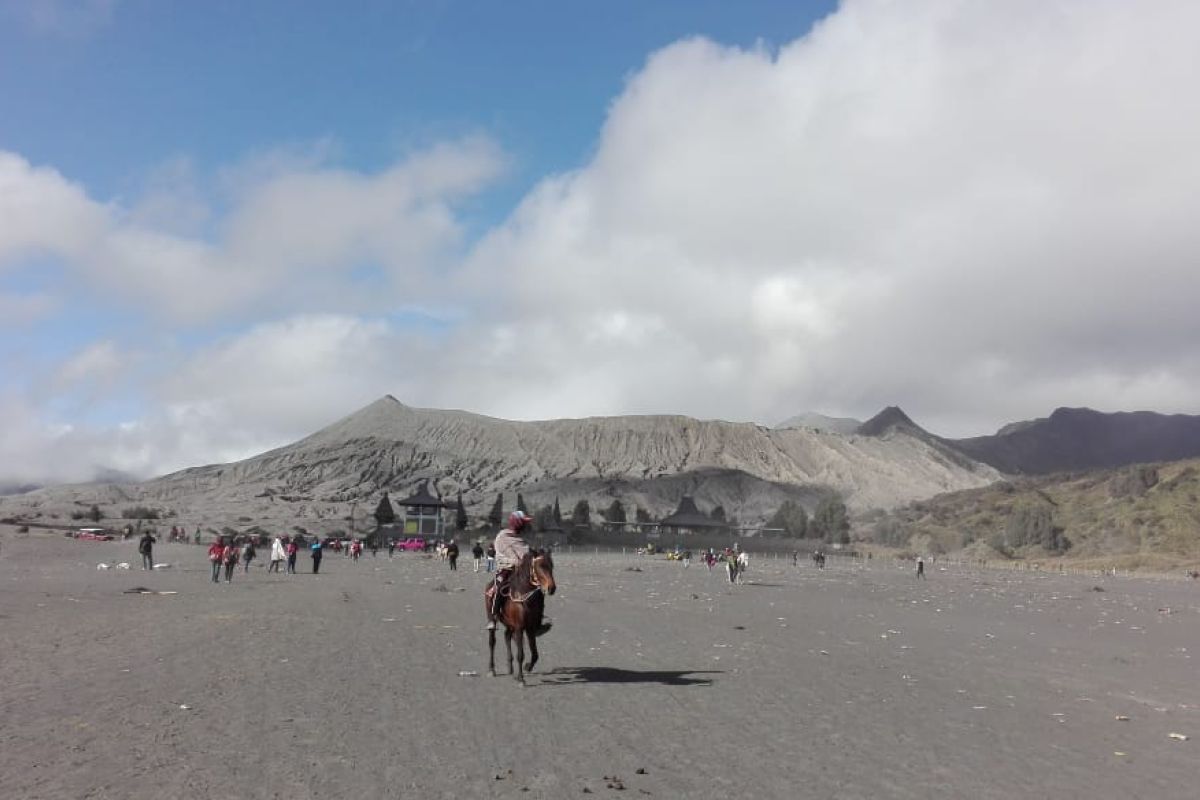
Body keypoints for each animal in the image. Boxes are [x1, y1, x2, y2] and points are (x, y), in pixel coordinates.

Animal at [482, 554, 556, 686]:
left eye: (551, 565)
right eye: (540, 566)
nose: (551, 588)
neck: (524, 596)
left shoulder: (530, 628)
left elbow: (535, 654)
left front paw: (527, 667)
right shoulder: (520, 628)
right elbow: (520, 654)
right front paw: (521, 679)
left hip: (510, 624)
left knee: (507, 636)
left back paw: (510, 667)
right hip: (493, 618)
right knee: (492, 641)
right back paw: (492, 669)